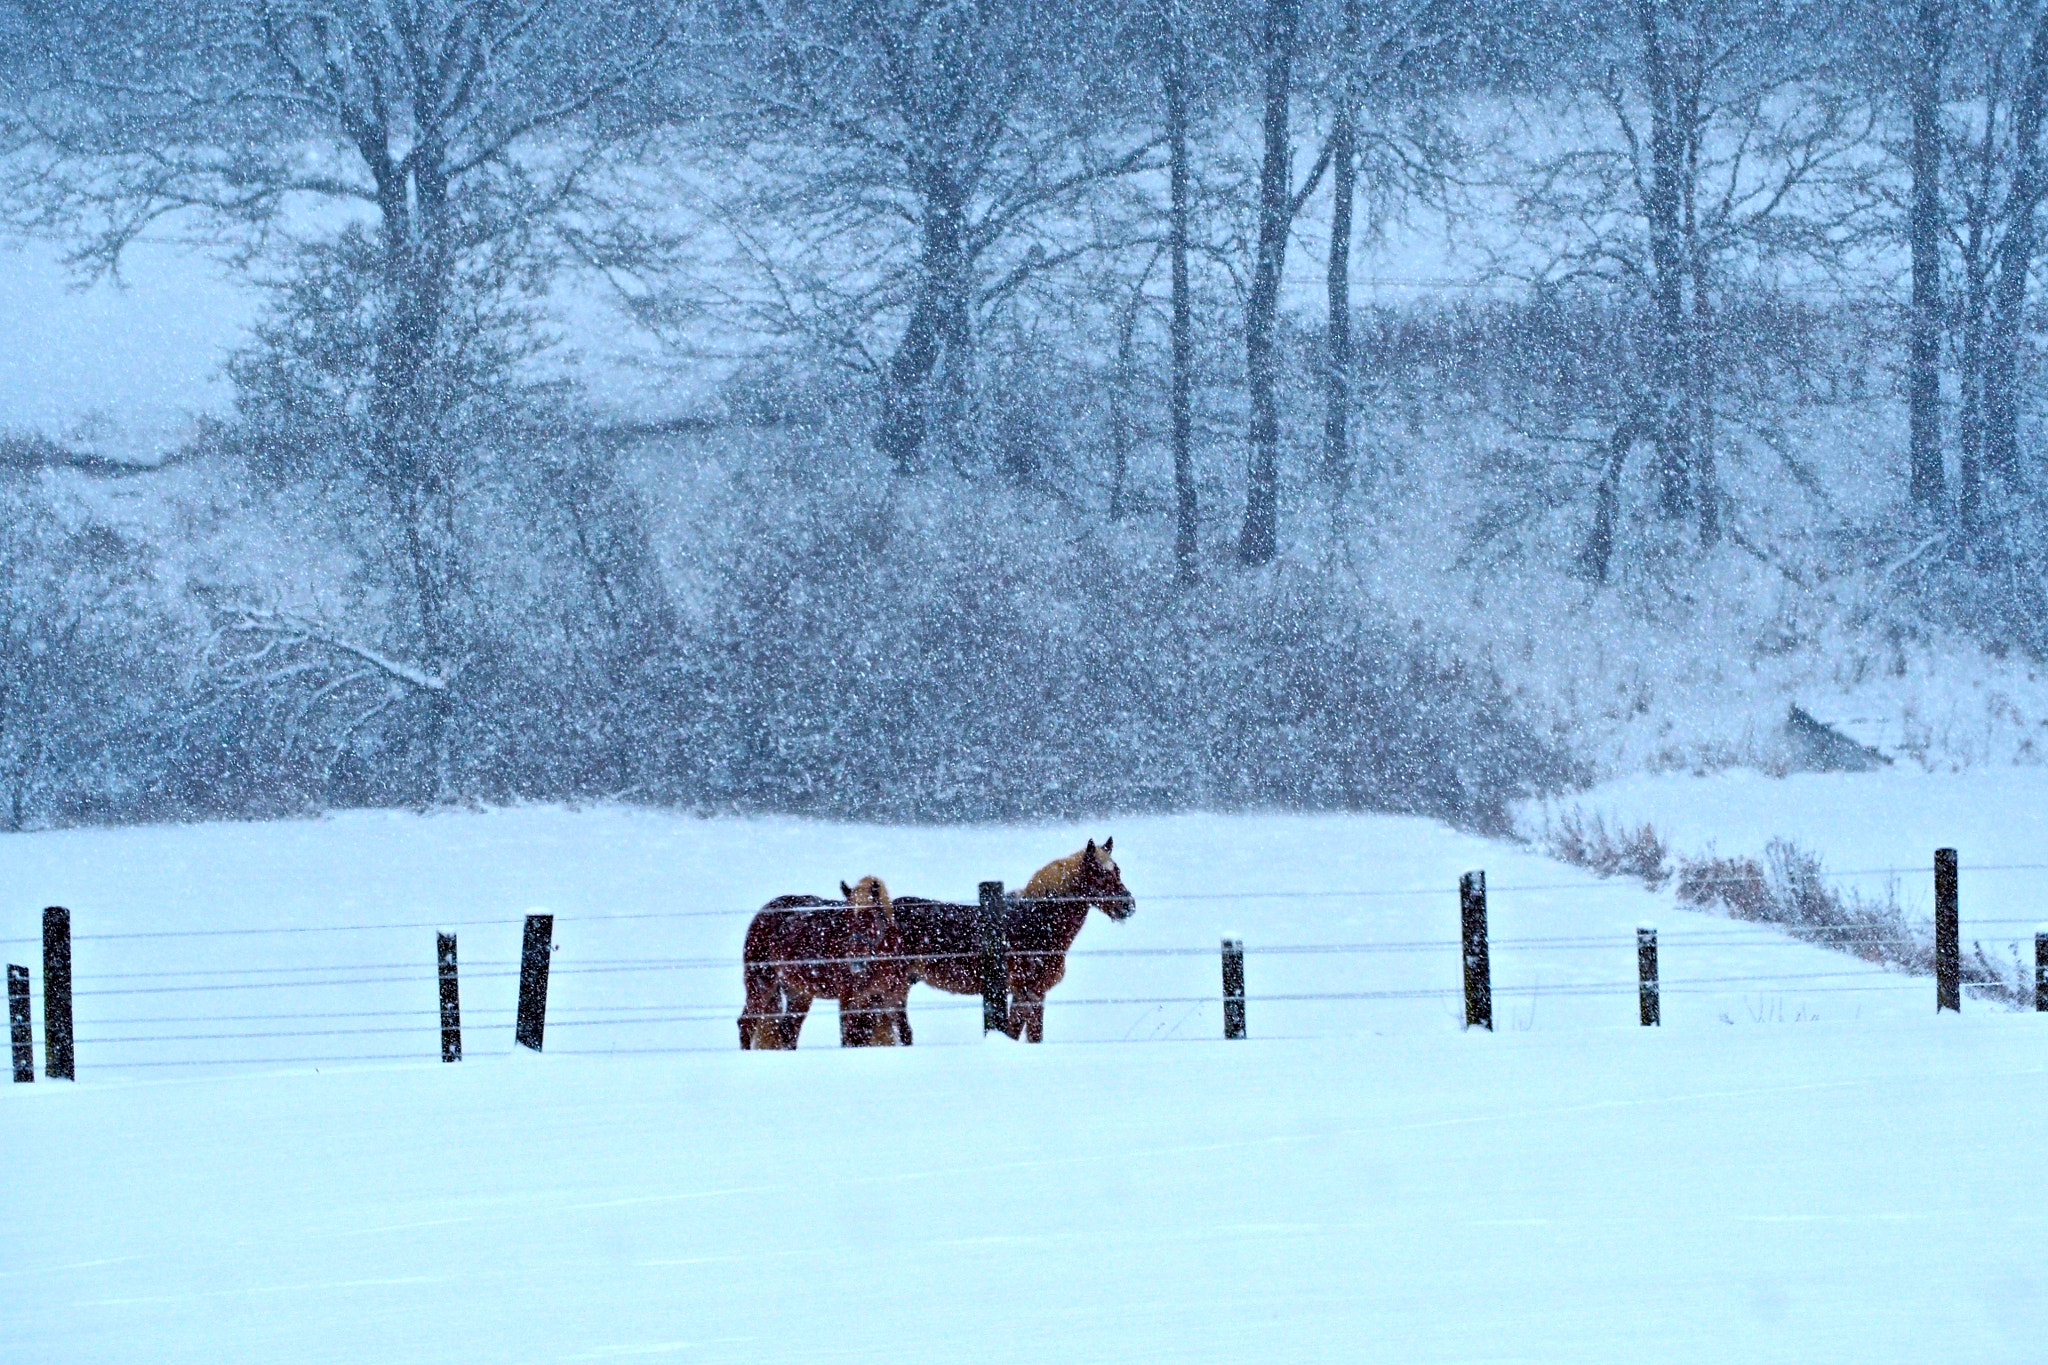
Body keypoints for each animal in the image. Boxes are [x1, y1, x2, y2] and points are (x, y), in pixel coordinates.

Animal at [738, 874, 913, 1049]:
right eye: (847, 918)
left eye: (870, 916)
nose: (855, 959)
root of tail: (763, 912)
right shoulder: (849, 997)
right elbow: (850, 1037)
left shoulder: (893, 996)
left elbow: (904, 1033)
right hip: (761, 982)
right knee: (746, 1023)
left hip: (798, 993)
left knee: (788, 1031)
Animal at [894, 838, 1134, 1043]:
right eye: (1097, 874)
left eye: (1118, 871)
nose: (1128, 906)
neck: (1035, 924)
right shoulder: (1026, 992)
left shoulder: (1034, 995)